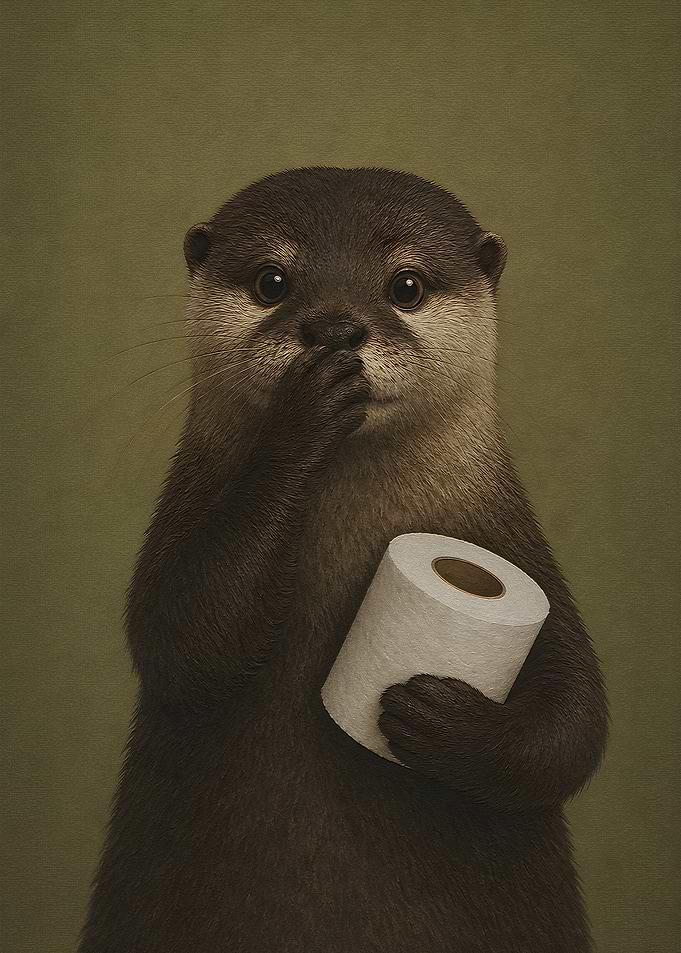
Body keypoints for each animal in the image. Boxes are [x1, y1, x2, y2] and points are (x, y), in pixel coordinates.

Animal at [79, 167, 609, 952]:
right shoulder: (181, 529)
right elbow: (181, 636)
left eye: (406, 285)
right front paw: (306, 410)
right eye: (272, 280)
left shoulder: (520, 556)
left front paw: (446, 722)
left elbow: (576, 720)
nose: (333, 328)